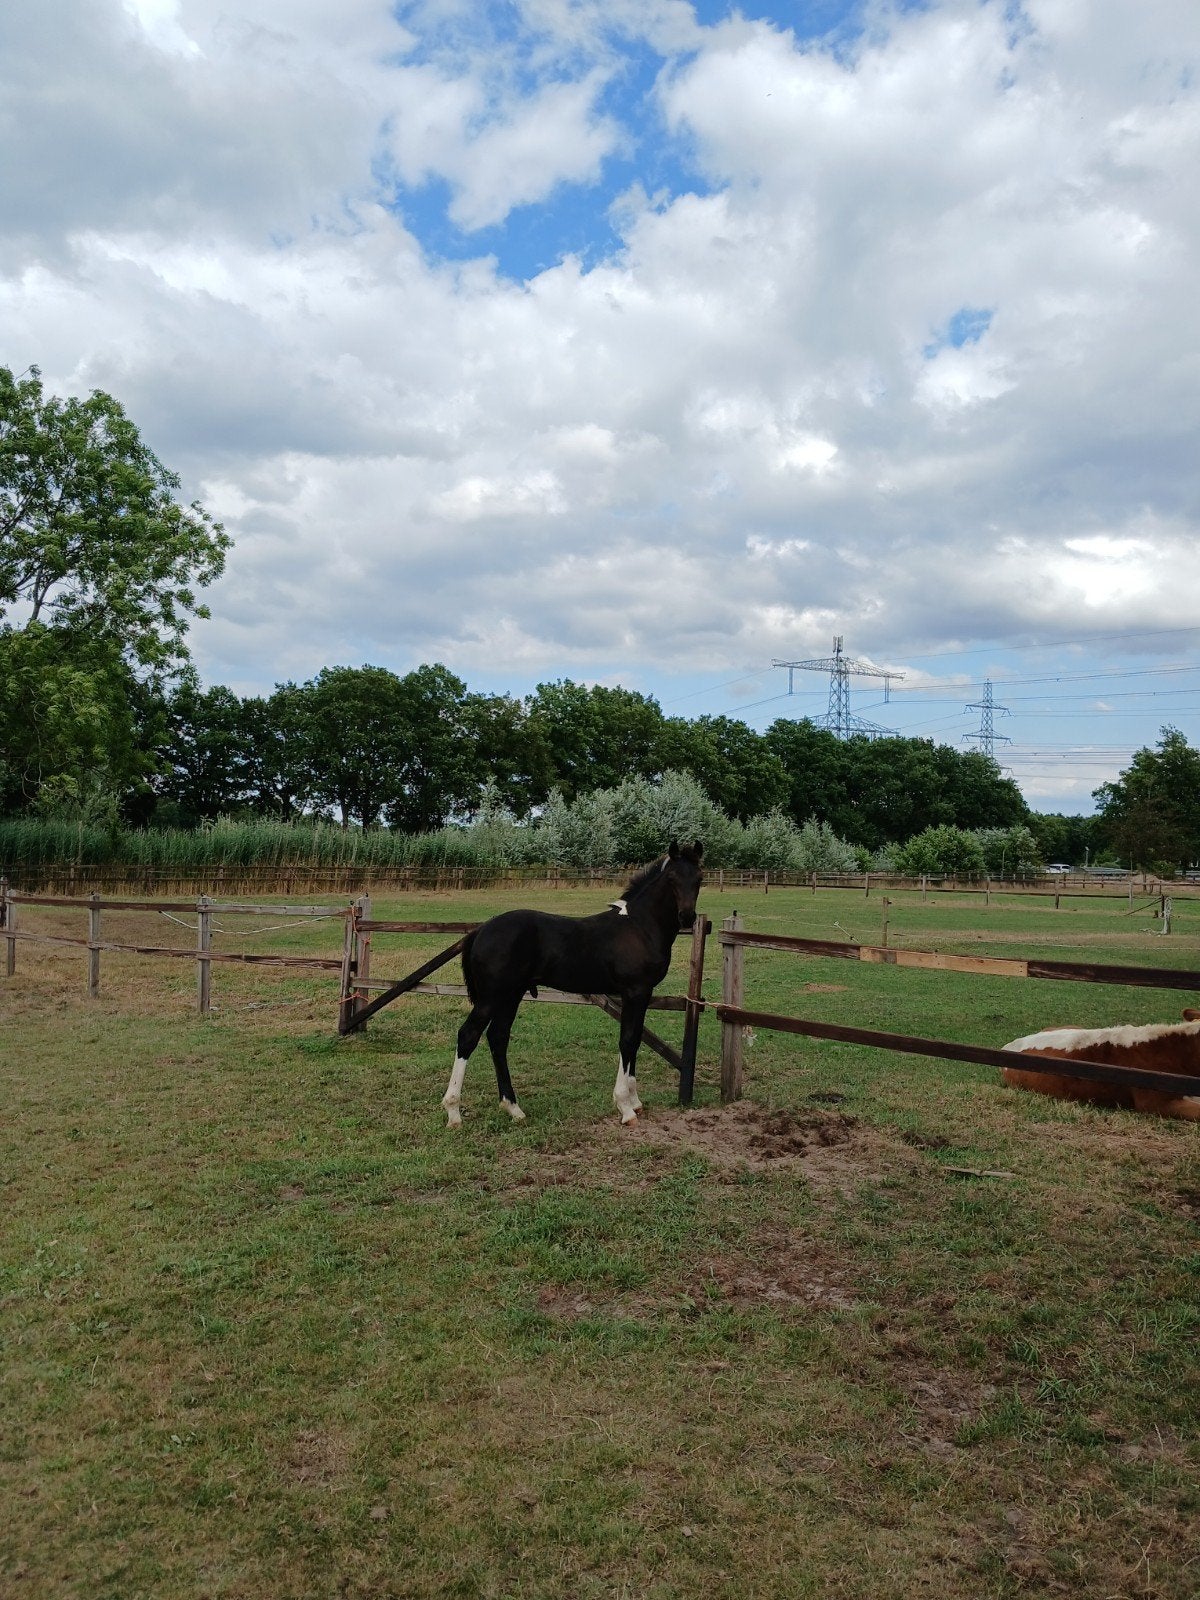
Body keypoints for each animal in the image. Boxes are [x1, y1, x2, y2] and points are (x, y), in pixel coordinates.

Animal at [441, 841, 704, 1127]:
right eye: (672, 878)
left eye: (699, 878)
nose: (687, 917)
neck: (639, 927)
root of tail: (481, 930)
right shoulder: (635, 991)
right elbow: (627, 1040)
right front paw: (625, 1107)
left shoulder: (642, 994)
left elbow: (634, 1039)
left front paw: (635, 1101)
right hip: (492, 996)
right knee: (468, 1035)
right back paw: (454, 1112)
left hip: (511, 994)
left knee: (498, 1037)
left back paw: (513, 1108)